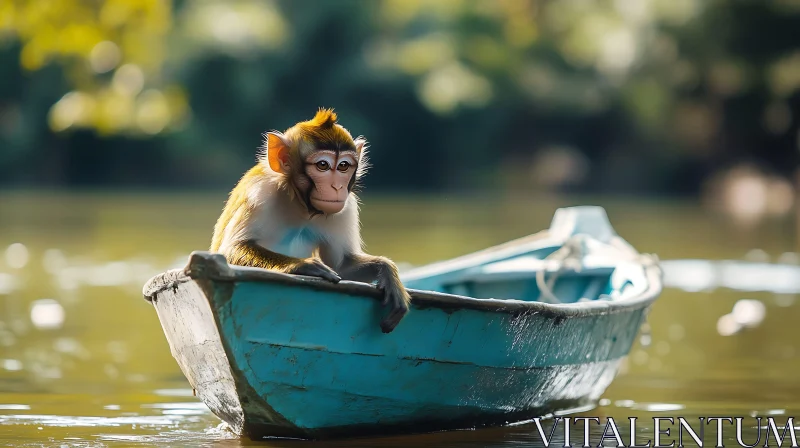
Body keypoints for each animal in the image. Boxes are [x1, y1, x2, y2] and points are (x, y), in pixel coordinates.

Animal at [209, 107, 410, 332]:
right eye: (323, 165)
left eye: (343, 166)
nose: (337, 187)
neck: (299, 203)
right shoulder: (259, 193)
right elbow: (230, 250)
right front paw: (301, 265)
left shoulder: (345, 208)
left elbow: (342, 266)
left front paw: (387, 271)